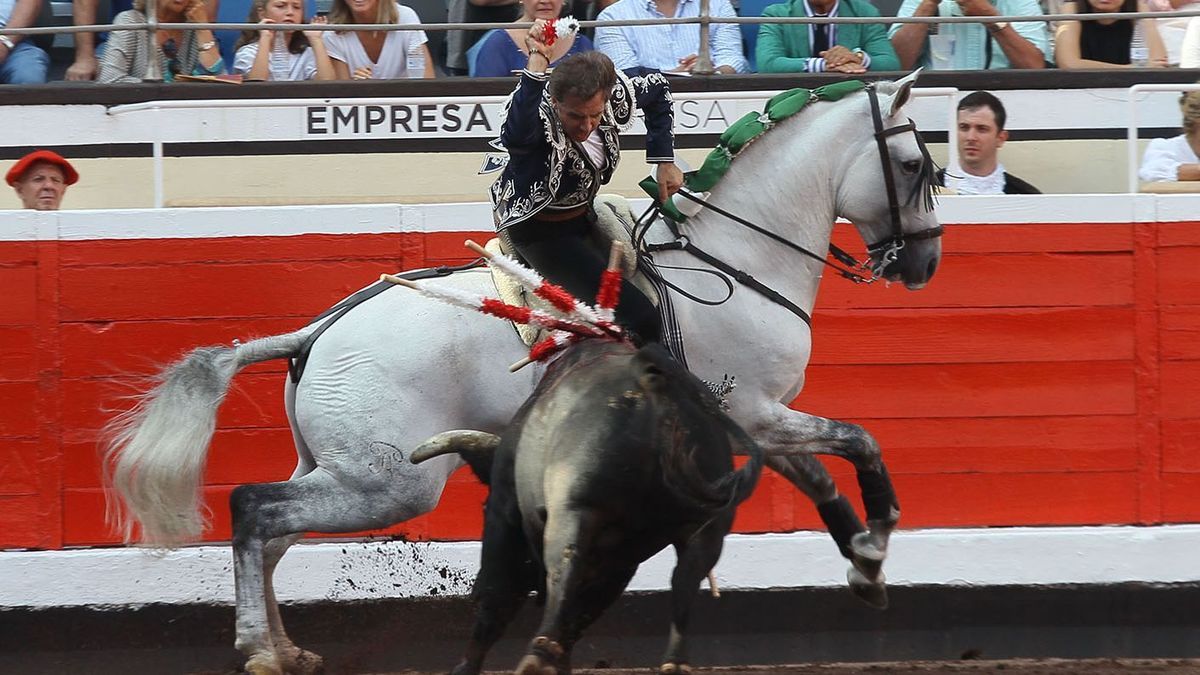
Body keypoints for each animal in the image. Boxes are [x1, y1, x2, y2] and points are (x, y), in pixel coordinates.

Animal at [412, 341, 763, 672]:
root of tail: (650, 378)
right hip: (704, 532)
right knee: (683, 583)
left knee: (561, 570)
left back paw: (538, 657)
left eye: (484, 506)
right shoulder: (621, 562)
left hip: (574, 513)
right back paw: (673, 663)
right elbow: (580, 616)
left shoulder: (505, 515)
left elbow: (498, 600)